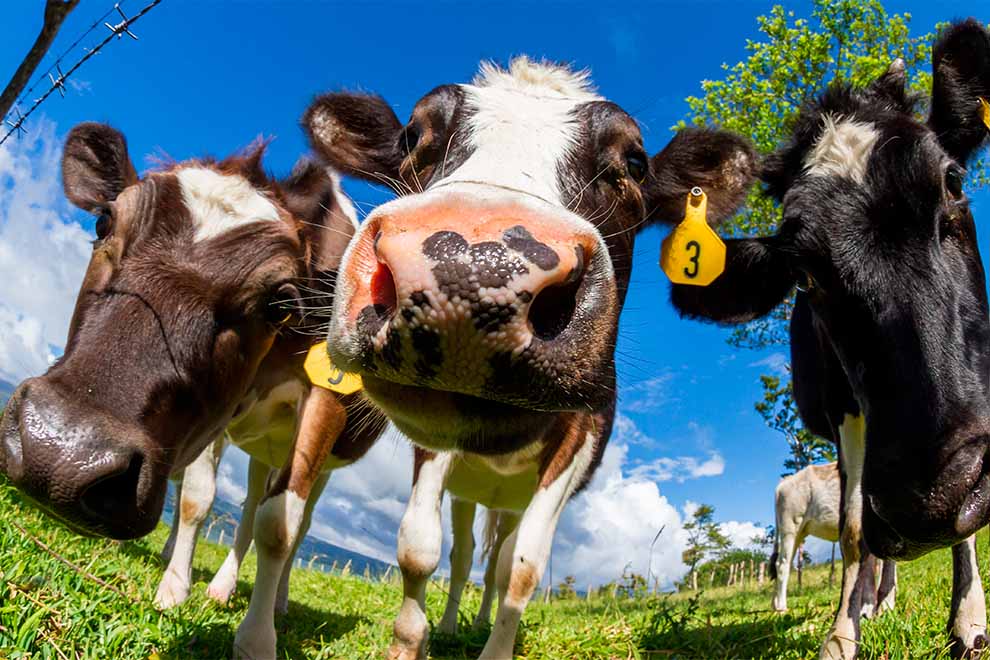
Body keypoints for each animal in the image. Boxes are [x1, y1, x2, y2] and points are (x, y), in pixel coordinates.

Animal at [0, 125, 390, 658]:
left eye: (280, 301)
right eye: (103, 222)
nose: (59, 453)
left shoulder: (323, 400)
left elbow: (280, 525)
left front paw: (256, 637)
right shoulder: (213, 413)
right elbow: (197, 499)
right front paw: (173, 588)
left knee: (295, 520)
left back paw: (277, 600)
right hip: (260, 447)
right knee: (246, 507)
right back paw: (220, 585)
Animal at [300, 56, 759, 659]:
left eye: (635, 162)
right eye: (412, 135)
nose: (471, 269)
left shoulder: (580, 437)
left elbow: (522, 569)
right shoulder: (434, 437)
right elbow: (419, 547)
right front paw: (409, 642)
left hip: (512, 496)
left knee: (498, 561)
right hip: (472, 488)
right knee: (464, 555)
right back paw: (453, 624)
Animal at [770, 461, 896, 617]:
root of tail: (785, 481)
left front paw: (885, 605)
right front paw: (882, 606)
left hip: (799, 533)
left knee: (779, 563)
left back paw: (774, 605)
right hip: (790, 527)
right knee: (782, 565)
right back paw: (781, 607)